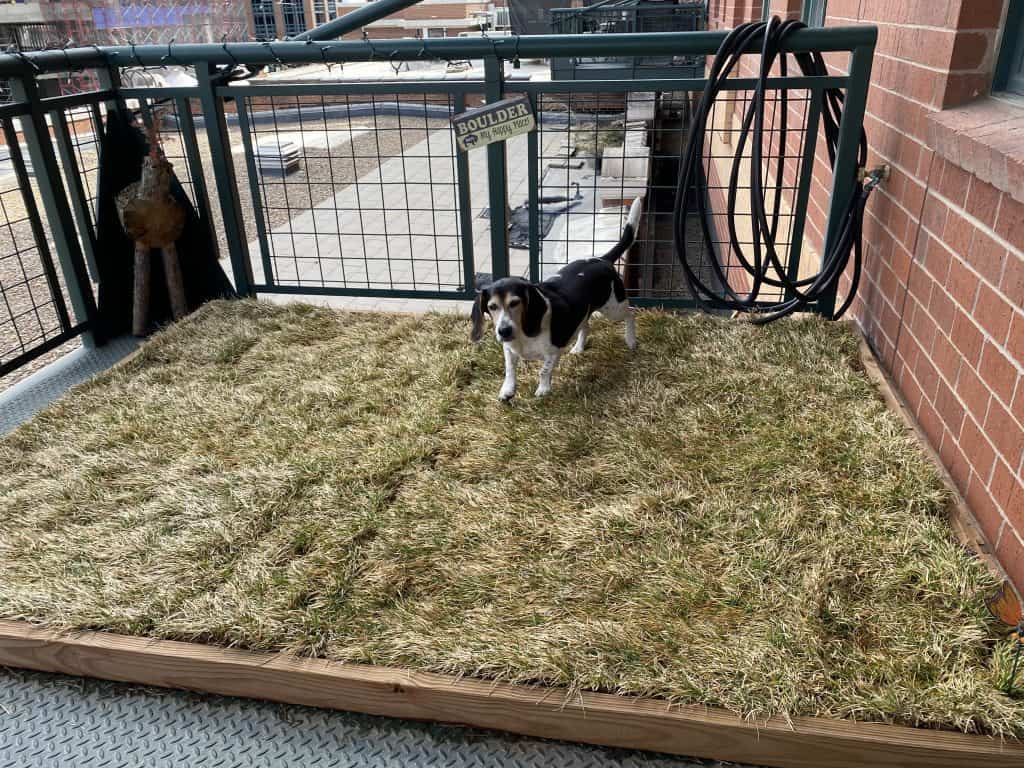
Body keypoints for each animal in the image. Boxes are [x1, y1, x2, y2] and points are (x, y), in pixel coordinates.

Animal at [471, 195, 638, 403]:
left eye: (515, 303)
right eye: (492, 306)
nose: (504, 331)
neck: (524, 333)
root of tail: (602, 260)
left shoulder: (554, 350)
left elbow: (543, 371)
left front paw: (543, 390)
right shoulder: (509, 350)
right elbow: (510, 371)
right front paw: (507, 390)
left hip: (614, 308)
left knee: (631, 314)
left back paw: (631, 340)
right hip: (584, 313)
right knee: (586, 326)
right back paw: (578, 348)